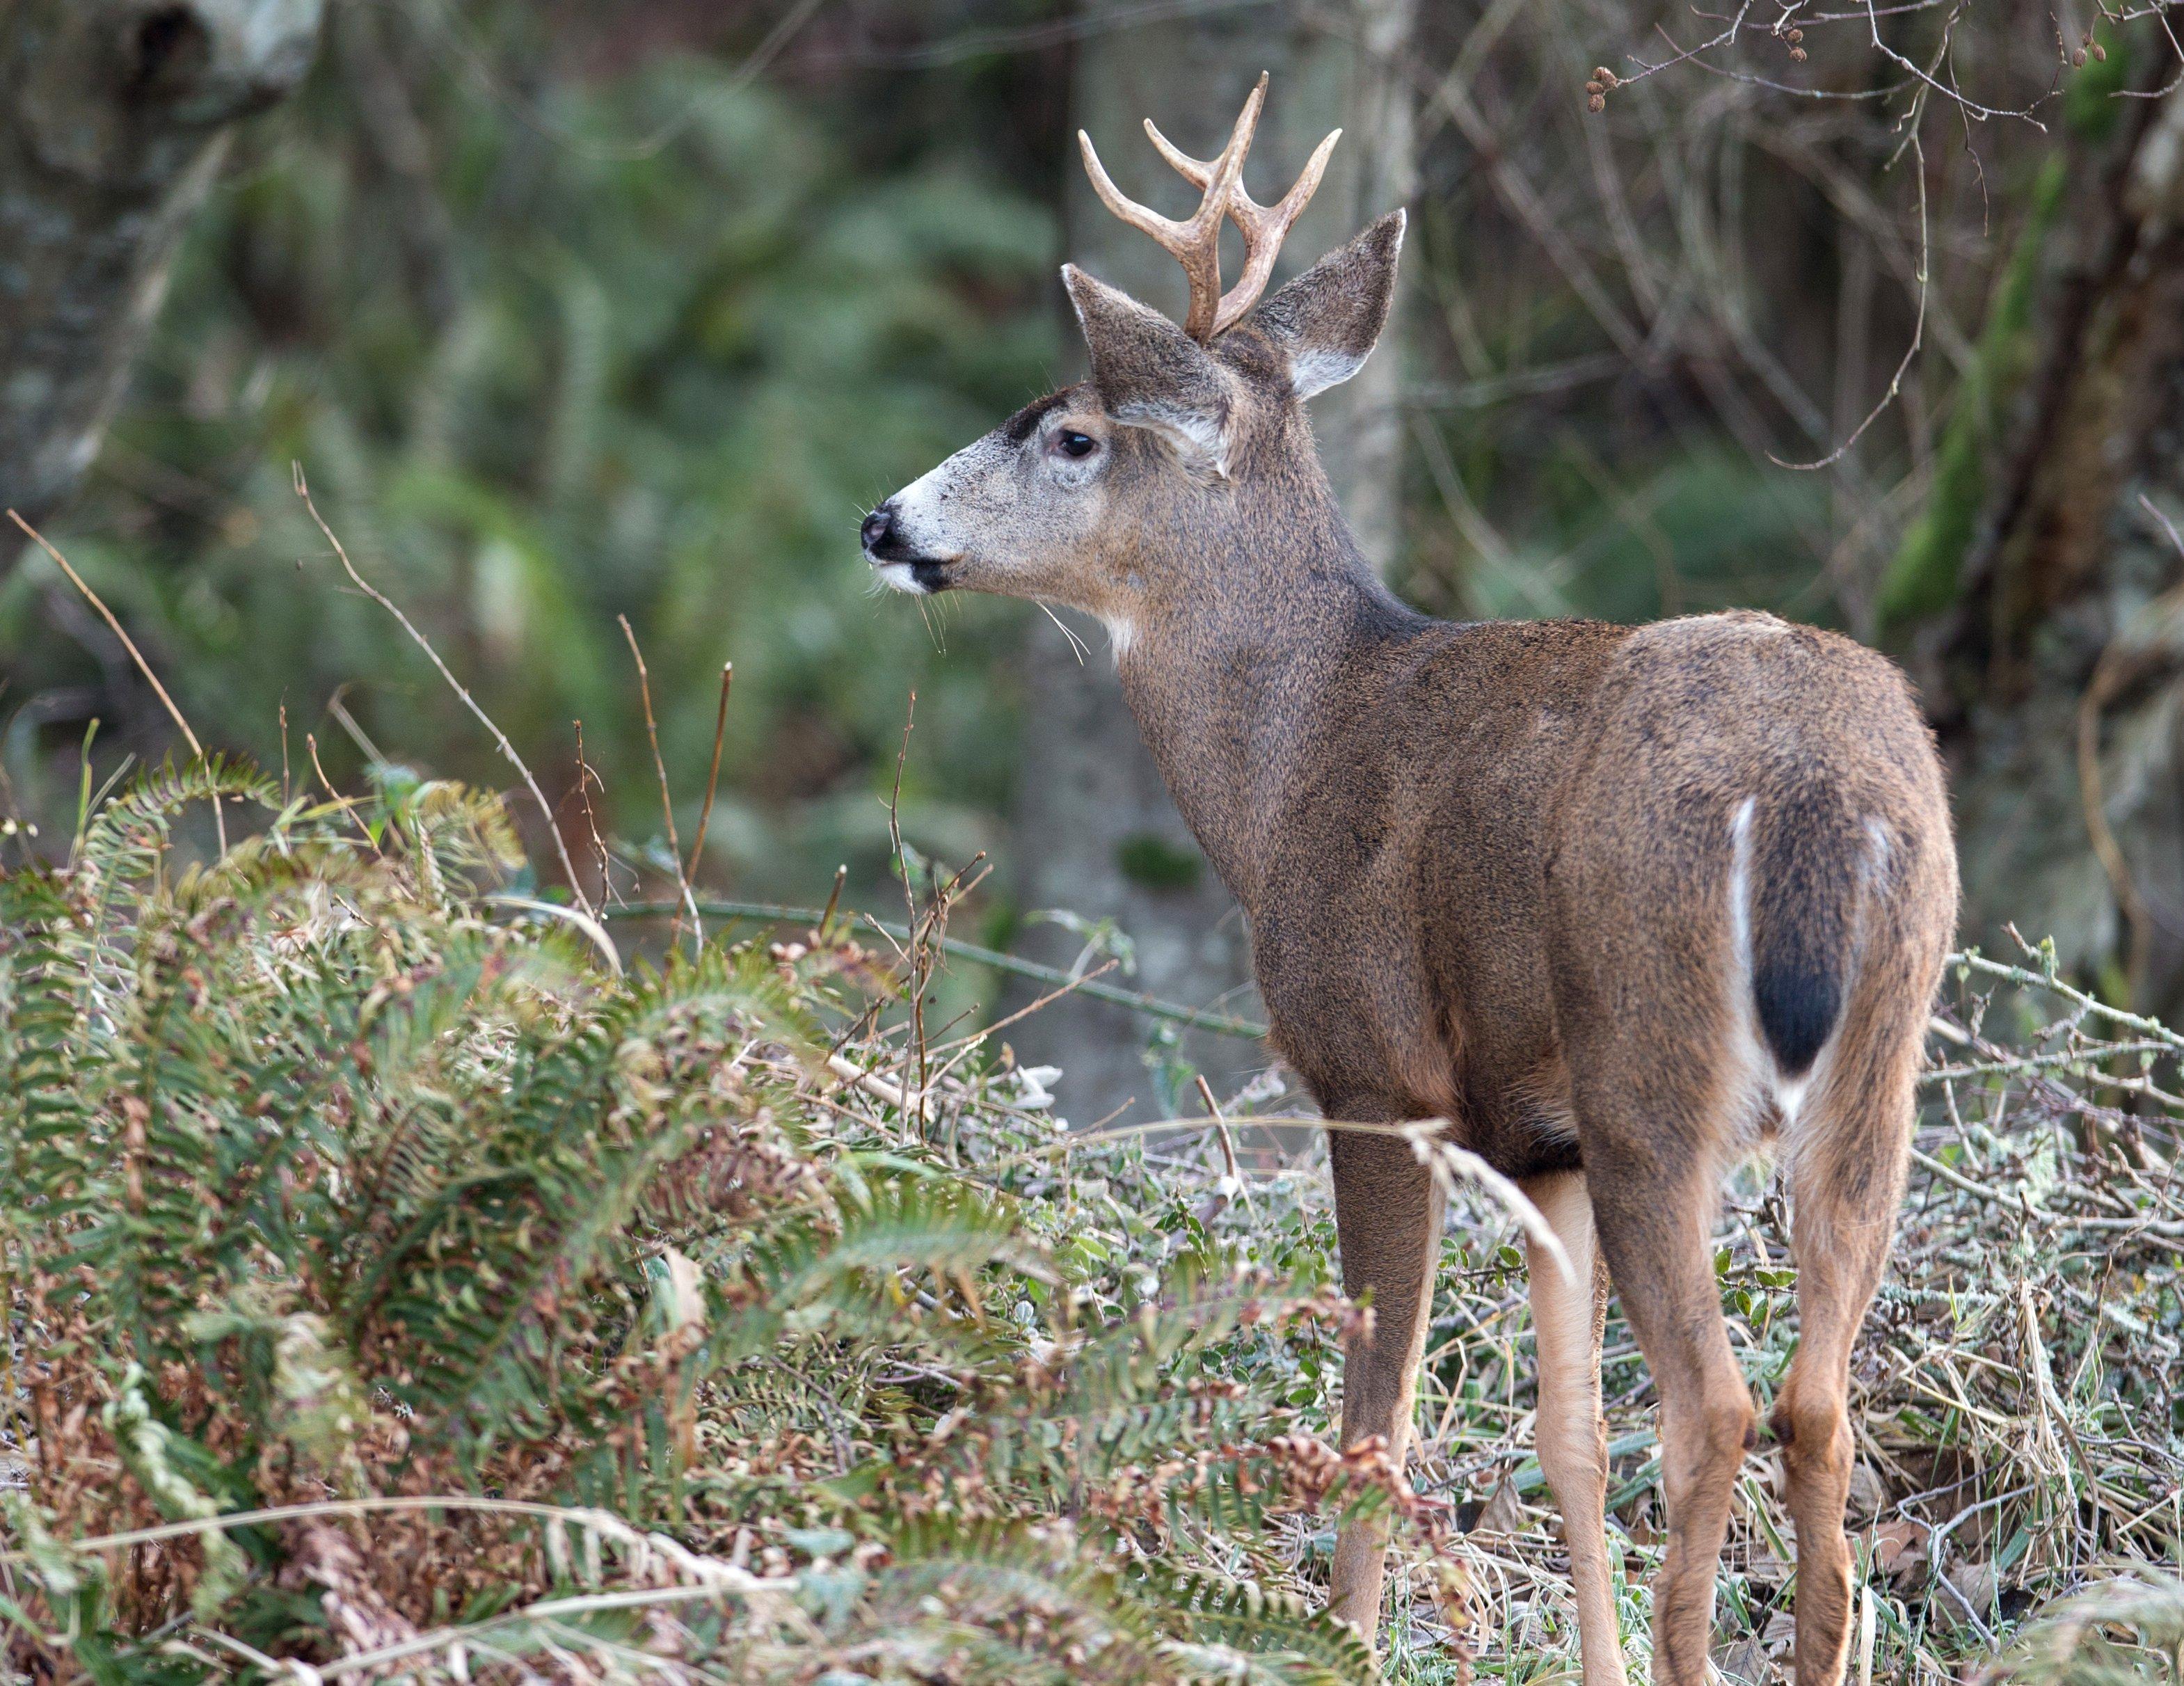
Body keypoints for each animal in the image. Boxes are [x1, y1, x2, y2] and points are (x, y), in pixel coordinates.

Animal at [856, 76, 1966, 1686]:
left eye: (1068, 433)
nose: (884, 523)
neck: (1292, 750)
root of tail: (1820, 790)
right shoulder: (1537, 1138)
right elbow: (1565, 1436)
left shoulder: (1374, 1072)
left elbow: (1372, 1404)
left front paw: (1341, 1635)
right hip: (1873, 1071)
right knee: (1814, 1394)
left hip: (1650, 1063)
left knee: (1715, 1399)